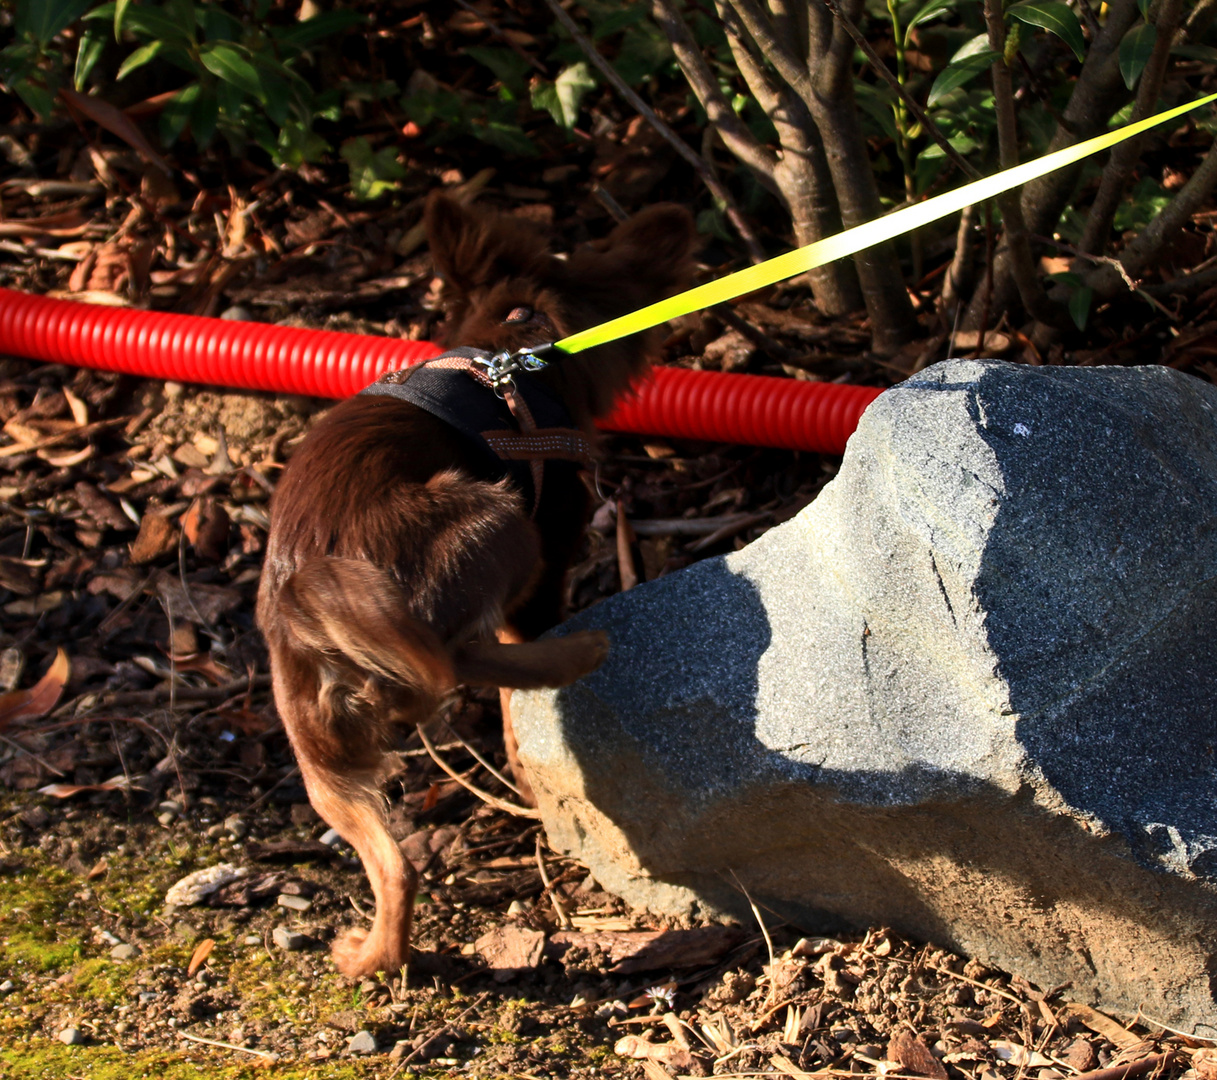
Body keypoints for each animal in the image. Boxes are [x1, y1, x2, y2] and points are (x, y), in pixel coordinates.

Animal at [256, 196, 696, 978]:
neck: (518, 337)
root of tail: (304, 593)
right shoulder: (549, 549)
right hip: (497, 518)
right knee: (452, 660)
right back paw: (578, 653)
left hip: (319, 755)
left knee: (395, 866)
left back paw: (372, 954)